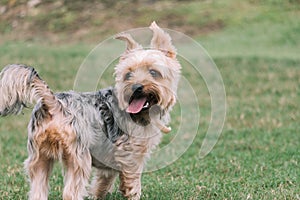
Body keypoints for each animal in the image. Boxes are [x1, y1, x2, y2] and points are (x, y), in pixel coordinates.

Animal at [0, 21, 180, 199]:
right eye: (128, 75)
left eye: (153, 72)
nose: (136, 87)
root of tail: (54, 104)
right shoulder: (132, 155)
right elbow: (133, 183)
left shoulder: (110, 159)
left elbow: (103, 181)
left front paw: (98, 194)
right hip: (78, 158)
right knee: (70, 192)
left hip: (39, 158)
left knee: (38, 189)